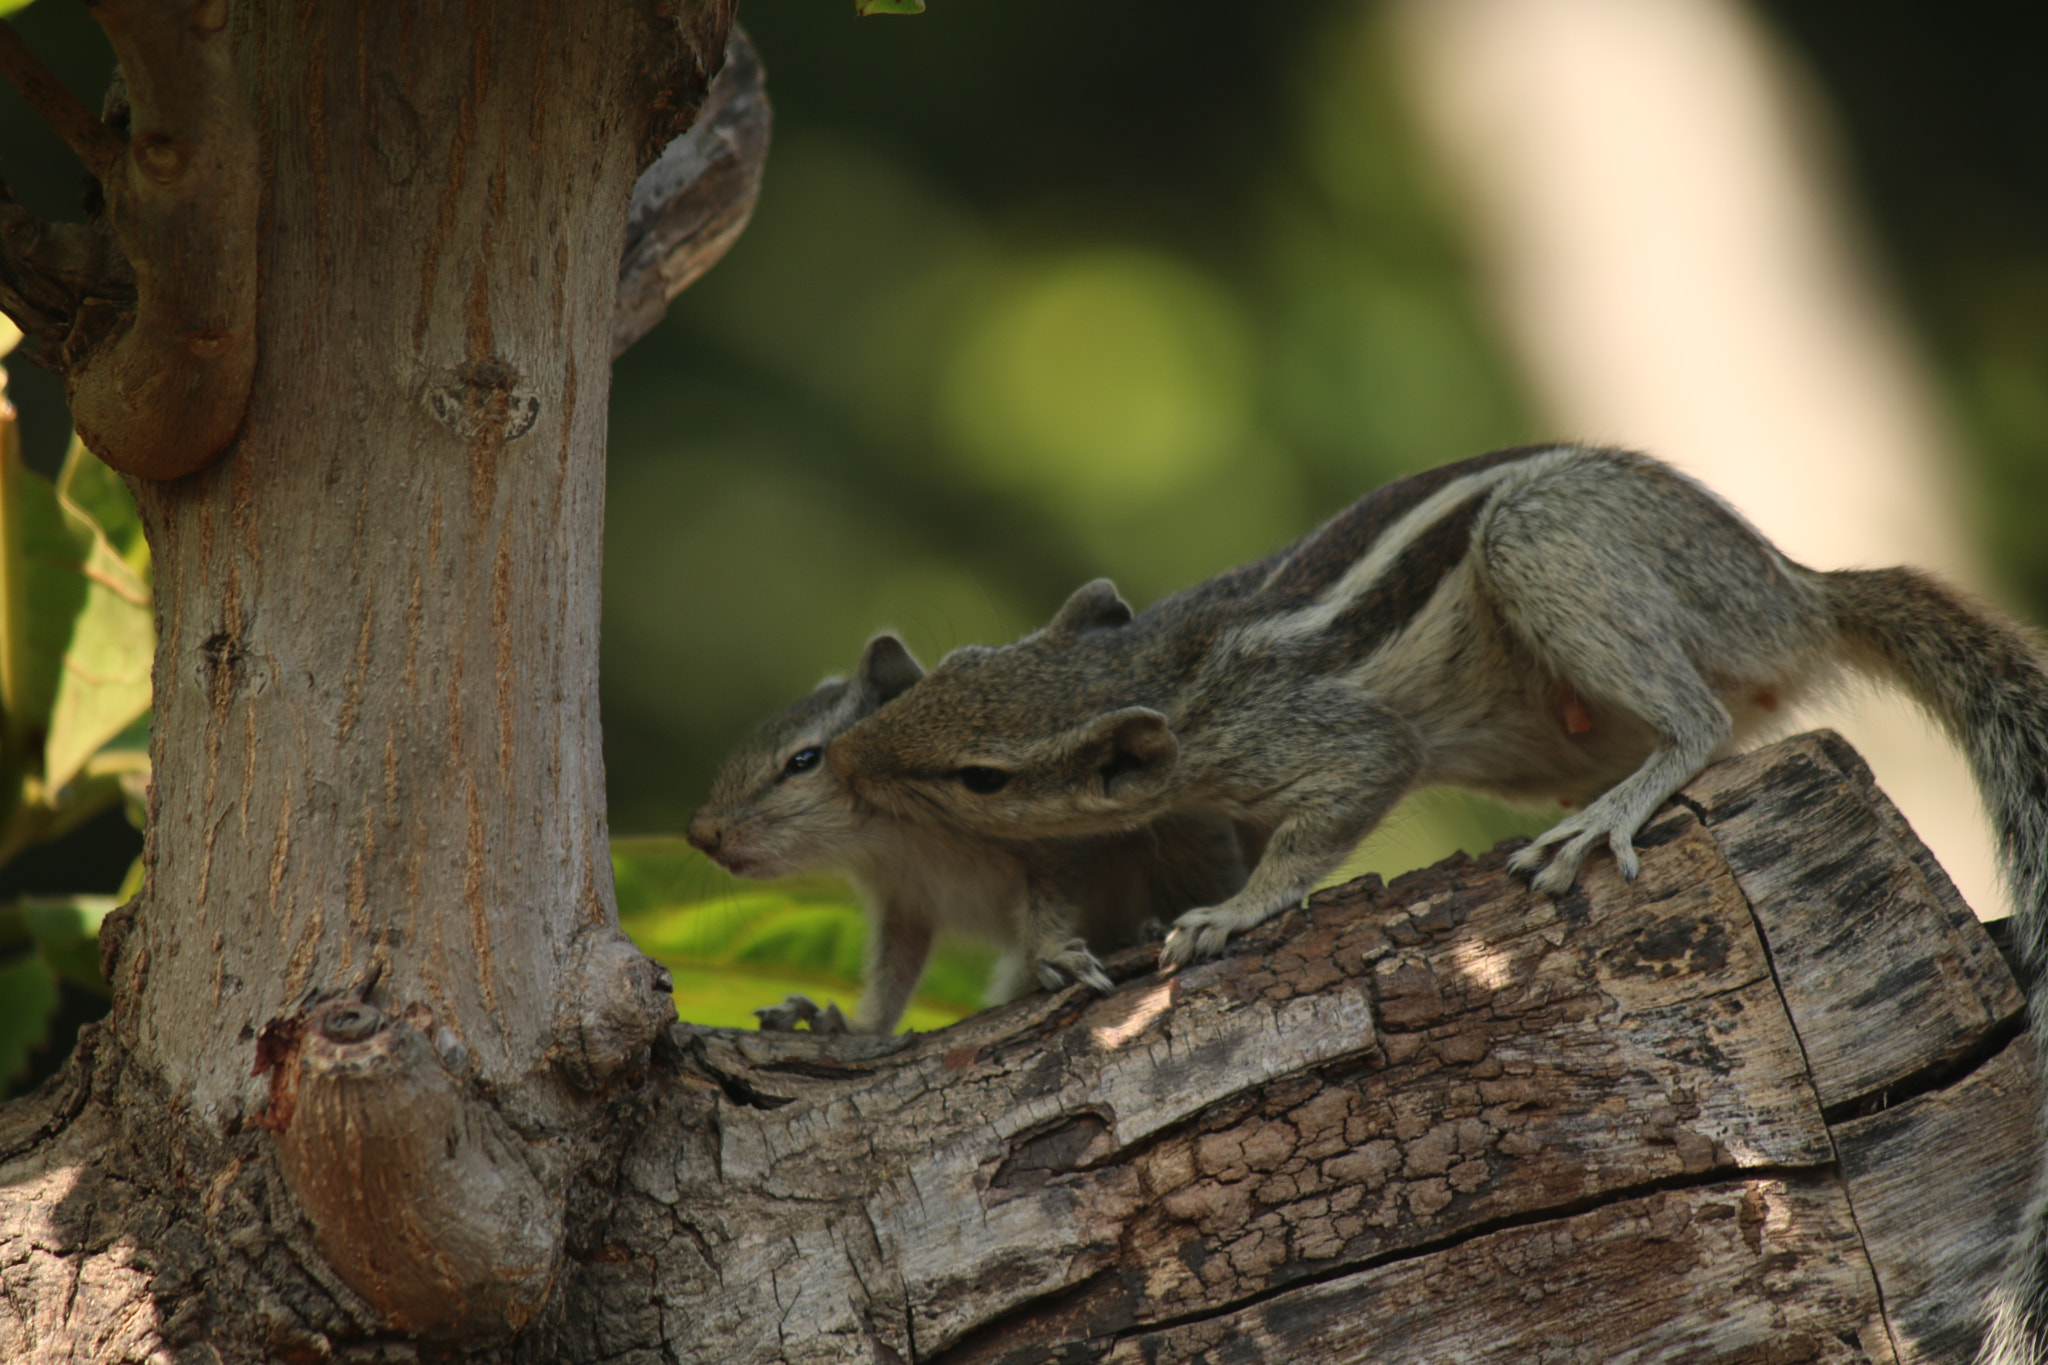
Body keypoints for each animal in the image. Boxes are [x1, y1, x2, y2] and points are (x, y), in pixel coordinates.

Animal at [685, 634, 1252, 1035]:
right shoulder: (904, 902)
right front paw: (850, 1026)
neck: (894, 838)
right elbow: (895, 971)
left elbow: (1053, 892)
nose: (700, 833)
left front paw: (1051, 951)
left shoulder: (1054, 838)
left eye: (803, 760)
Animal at [824, 442, 2048, 1359]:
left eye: (981, 776)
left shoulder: (1321, 740)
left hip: (1550, 541)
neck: (1163, 668)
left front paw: (1229, 916)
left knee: (1696, 722)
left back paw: (1604, 816)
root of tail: (1798, 591)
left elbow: (1337, 800)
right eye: (955, 663)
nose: (840, 759)